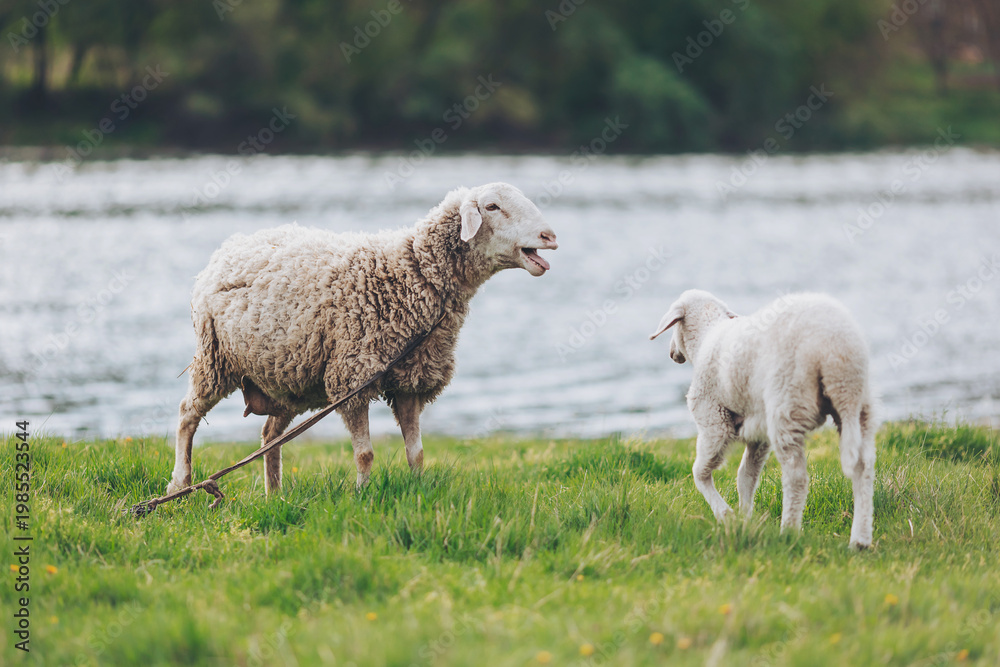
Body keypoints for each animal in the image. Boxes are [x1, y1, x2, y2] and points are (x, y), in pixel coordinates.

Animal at [167, 182, 558, 496]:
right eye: (491, 206)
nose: (550, 237)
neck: (411, 274)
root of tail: (230, 246)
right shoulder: (352, 376)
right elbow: (365, 453)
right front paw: (362, 495)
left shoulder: (410, 380)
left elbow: (416, 453)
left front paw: (417, 491)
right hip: (215, 357)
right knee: (188, 415)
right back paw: (180, 483)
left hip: (288, 376)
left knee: (269, 434)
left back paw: (274, 495)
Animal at [649, 290, 876, 549]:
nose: (672, 354)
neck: (707, 335)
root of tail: (835, 346)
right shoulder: (758, 435)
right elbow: (746, 476)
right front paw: (744, 519)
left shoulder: (713, 423)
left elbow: (700, 473)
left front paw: (725, 515)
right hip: (860, 406)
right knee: (863, 468)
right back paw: (860, 539)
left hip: (788, 404)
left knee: (796, 477)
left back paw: (789, 531)